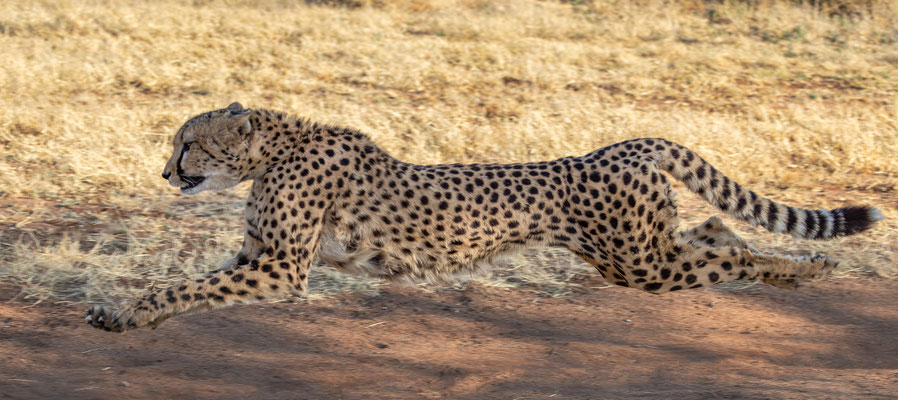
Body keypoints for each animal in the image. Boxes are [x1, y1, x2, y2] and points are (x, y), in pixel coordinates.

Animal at [86, 102, 883, 332]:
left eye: (187, 143)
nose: (165, 173)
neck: (278, 146)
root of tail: (623, 143)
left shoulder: (280, 267)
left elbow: (190, 285)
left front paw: (133, 315)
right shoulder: (259, 258)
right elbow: (192, 280)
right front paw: (123, 309)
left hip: (640, 263)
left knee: (731, 255)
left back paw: (808, 268)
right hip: (638, 252)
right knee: (717, 232)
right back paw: (797, 271)